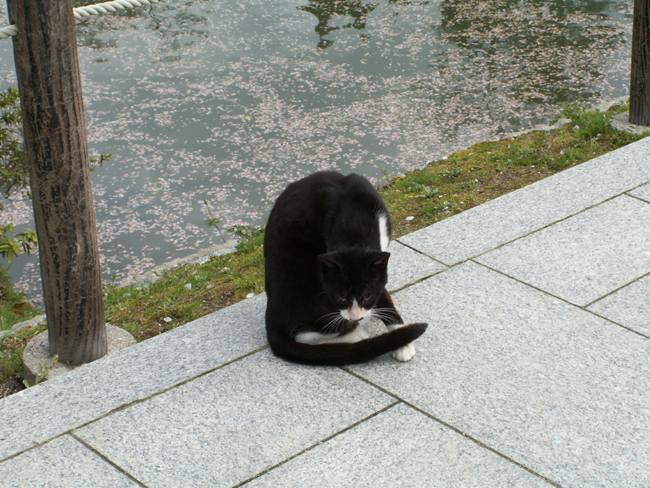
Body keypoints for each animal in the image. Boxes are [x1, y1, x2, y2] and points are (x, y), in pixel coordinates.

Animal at [264, 170, 427, 365]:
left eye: (366, 296)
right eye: (341, 296)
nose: (356, 317)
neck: (354, 225)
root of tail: (272, 317)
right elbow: (382, 296)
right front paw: (402, 342)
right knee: (304, 334)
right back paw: (355, 336)